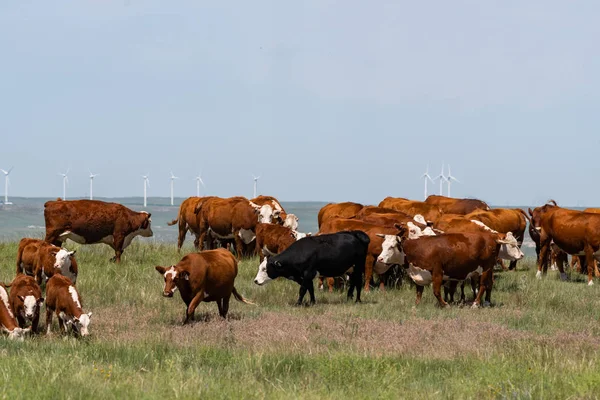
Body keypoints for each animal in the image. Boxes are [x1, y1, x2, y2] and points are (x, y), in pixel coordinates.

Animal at [378, 227, 512, 308]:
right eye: (383, 245)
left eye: (392, 246)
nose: (380, 259)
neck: (418, 249)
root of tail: (492, 236)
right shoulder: (419, 275)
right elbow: (419, 292)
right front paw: (416, 305)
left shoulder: (437, 272)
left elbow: (436, 291)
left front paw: (445, 304)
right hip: (484, 270)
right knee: (489, 284)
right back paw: (487, 302)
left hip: (486, 268)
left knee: (483, 285)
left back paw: (475, 303)